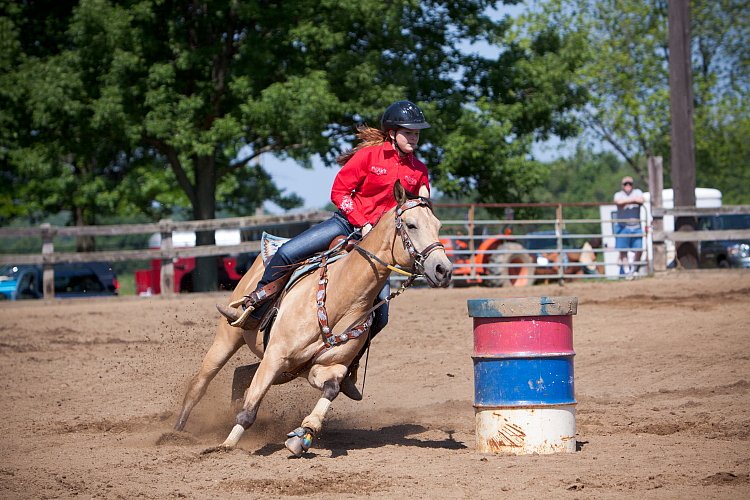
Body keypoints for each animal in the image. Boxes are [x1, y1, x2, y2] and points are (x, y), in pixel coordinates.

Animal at [173, 182, 452, 456]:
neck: (341, 297)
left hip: (284, 370)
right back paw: (176, 432)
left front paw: (303, 434)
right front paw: (226, 445)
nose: (444, 270)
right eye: (411, 224)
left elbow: (331, 389)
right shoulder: (275, 357)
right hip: (228, 339)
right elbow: (250, 409)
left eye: (438, 225)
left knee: (240, 374)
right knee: (199, 383)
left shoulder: (325, 367)